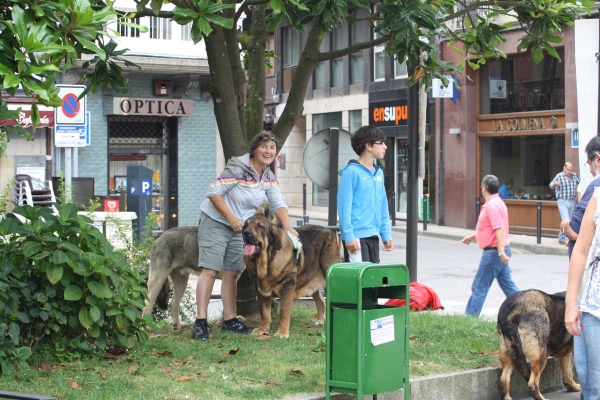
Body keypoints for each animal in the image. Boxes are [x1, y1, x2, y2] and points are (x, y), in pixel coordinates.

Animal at [241, 206, 340, 338]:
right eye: (245, 225)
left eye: (260, 226)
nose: (246, 233)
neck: (266, 261)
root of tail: (330, 231)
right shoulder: (261, 290)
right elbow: (265, 312)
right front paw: (262, 329)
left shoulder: (287, 286)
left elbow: (284, 311)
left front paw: (282, 333)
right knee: (321, 300)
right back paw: (319, 320)